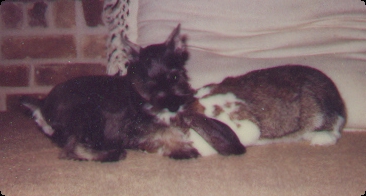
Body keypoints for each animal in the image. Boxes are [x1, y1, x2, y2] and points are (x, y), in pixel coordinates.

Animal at [20, 24, 246, 162]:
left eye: (175, 77)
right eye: (150, 84)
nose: (173, 106)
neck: (139, 94)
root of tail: (43, 105)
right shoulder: (132, 124)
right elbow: (164, 130)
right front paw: (181, 148)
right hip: (88, 114)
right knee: (73, 147)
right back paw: (110, 154)